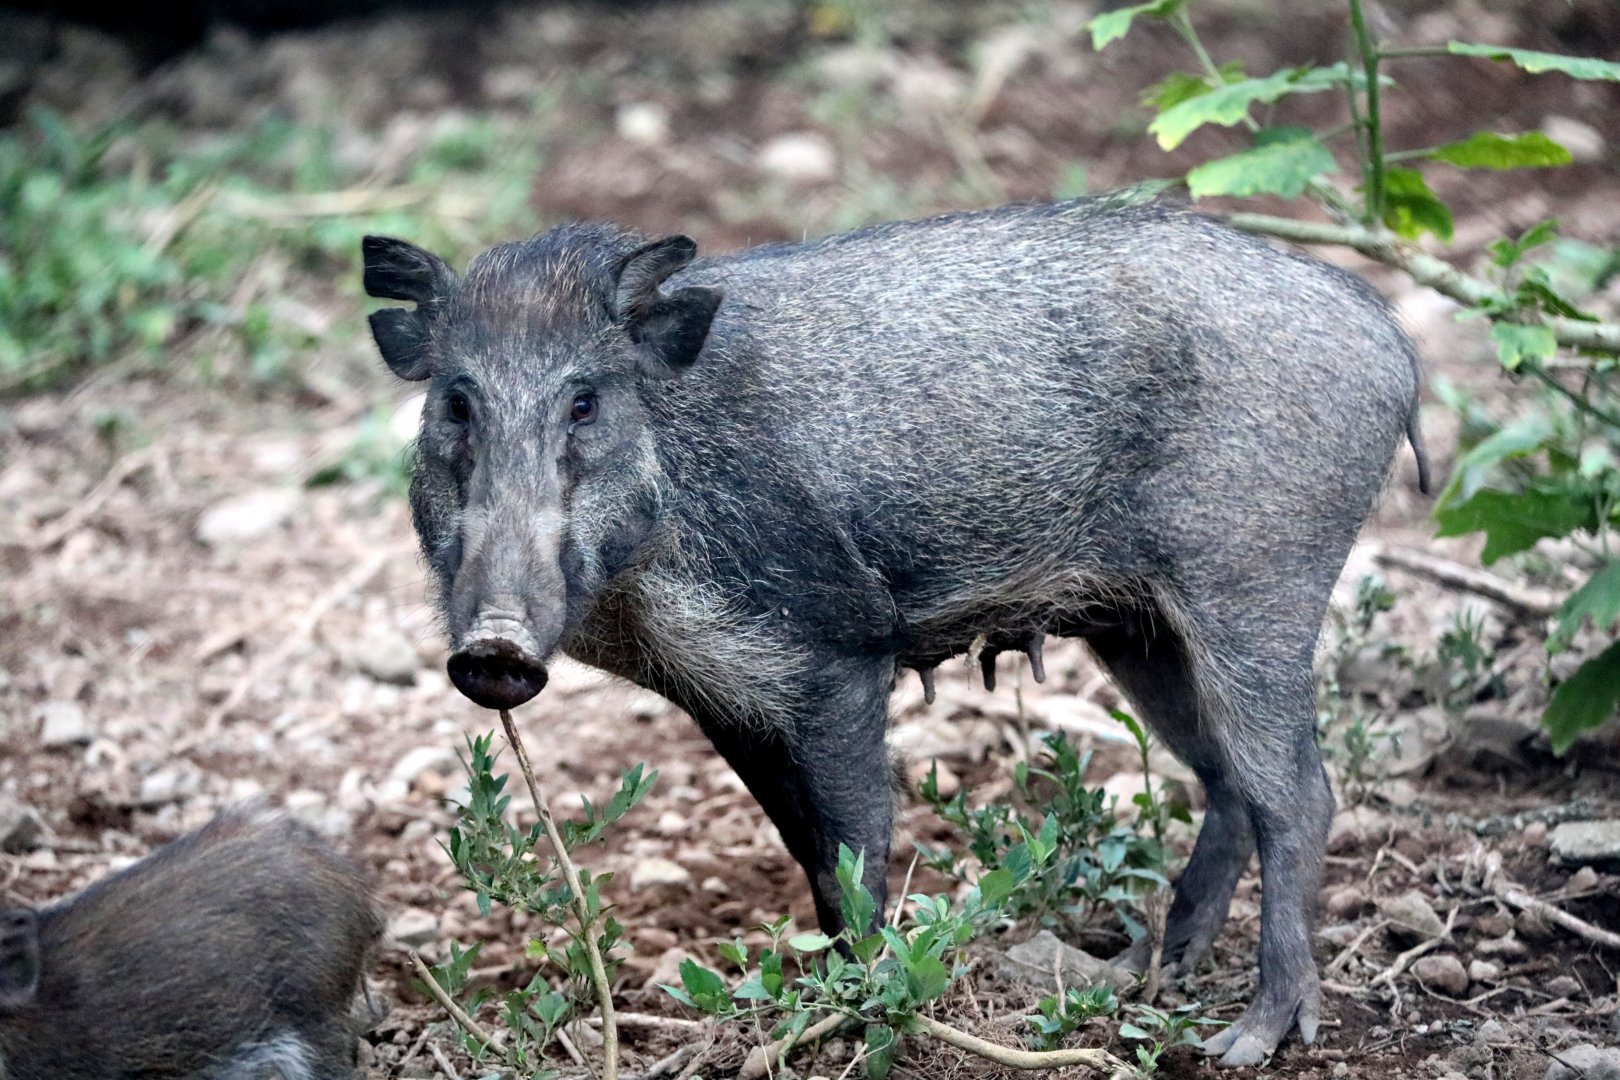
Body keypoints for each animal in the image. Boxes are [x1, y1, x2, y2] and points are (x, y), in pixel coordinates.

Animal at [363, 195, 1430, 1066]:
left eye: (584, 401)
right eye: (455, 402)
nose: (494, 649)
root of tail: (1384, 332)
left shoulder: (839, 654)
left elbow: (858, 841)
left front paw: (862, 1006)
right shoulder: (728, 696)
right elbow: (807, 852)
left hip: (1256, 588)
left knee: (1297, 792)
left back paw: (1247, 1040)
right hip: (1141, 626)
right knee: (1225, 781)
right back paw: (1150, 975)